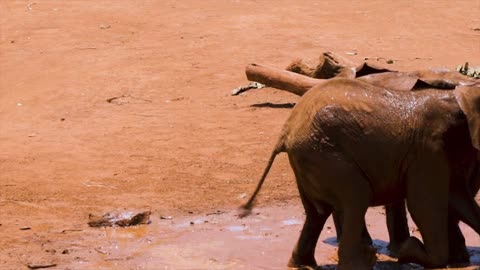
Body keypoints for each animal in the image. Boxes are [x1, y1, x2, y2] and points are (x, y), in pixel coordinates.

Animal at [242, 78, 480, 270]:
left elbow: (459, 198)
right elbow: (424, 205)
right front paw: (407, 250)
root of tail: (286, 130)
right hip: (323, 153)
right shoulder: (428, 149)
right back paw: (363, 261)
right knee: (356, 198)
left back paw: (302, 264)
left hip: (309, 158)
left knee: (317, 213)